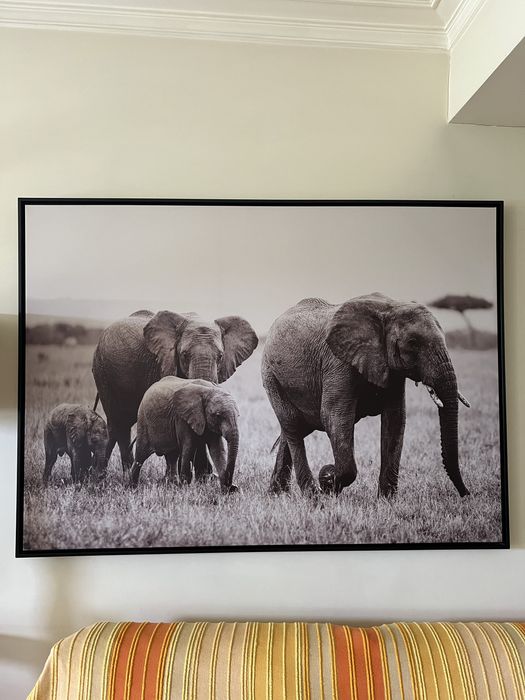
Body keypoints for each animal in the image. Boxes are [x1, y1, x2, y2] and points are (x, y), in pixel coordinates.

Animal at [92, 309, 257, 476]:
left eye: (220, 356)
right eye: (184, 355)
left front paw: (203, 476)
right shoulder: (163, 363)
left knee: (121, 426)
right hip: (103, 373)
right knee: (116, 424)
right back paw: (108, 474)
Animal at [261, 293, 470, 498]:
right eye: (413, 342)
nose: (466, 494)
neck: (390, 307)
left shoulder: (391, 370)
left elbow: (395, 420)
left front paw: (386, 500)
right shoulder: (338, 362)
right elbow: (334, 416)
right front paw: (328, 480)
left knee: (295, 429)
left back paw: (277, 494)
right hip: (271, 376)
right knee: (293, 426)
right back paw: (311, 495)